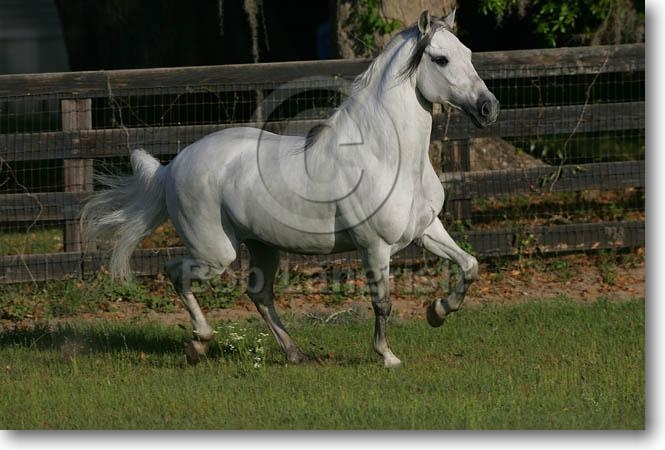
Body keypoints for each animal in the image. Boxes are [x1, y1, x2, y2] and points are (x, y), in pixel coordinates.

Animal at [81, 9, 499, 368]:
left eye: (468, 53)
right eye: (440, 59)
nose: (488, 108)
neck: (386, 157)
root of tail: (171, 169)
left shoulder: (426, 230)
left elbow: (470, 266)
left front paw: (437, 312)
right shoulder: (374, 246)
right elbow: (383, 302)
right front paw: (388, 356)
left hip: (262, 246)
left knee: (259, 293)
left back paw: (293, 353)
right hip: (216, 253)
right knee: (176, 273)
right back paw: (199, 343)